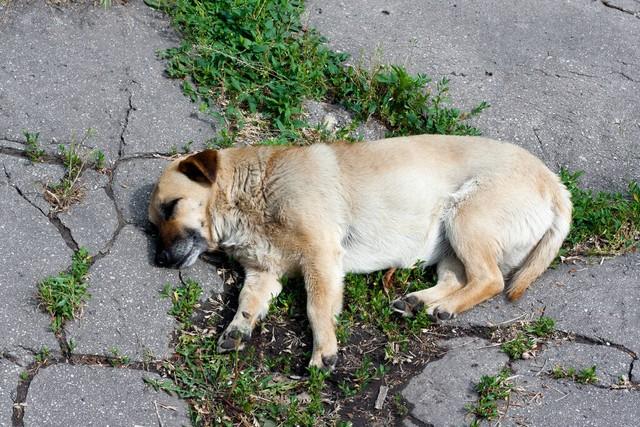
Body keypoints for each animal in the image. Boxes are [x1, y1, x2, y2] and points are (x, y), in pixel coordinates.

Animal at [149, 135, 568, 370]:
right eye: (154, 225)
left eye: (171, 207)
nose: (161, 260)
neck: (252, 192)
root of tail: (555, 185)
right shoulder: (263, 273)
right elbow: (247, 302)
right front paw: (238, 327)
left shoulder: (320, 257)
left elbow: (317, 309)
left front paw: (324, 351)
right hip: (450, 241)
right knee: (459, 279)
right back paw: (420, 302)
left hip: (466, 220)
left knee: (490, 279)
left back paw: (442, 307)